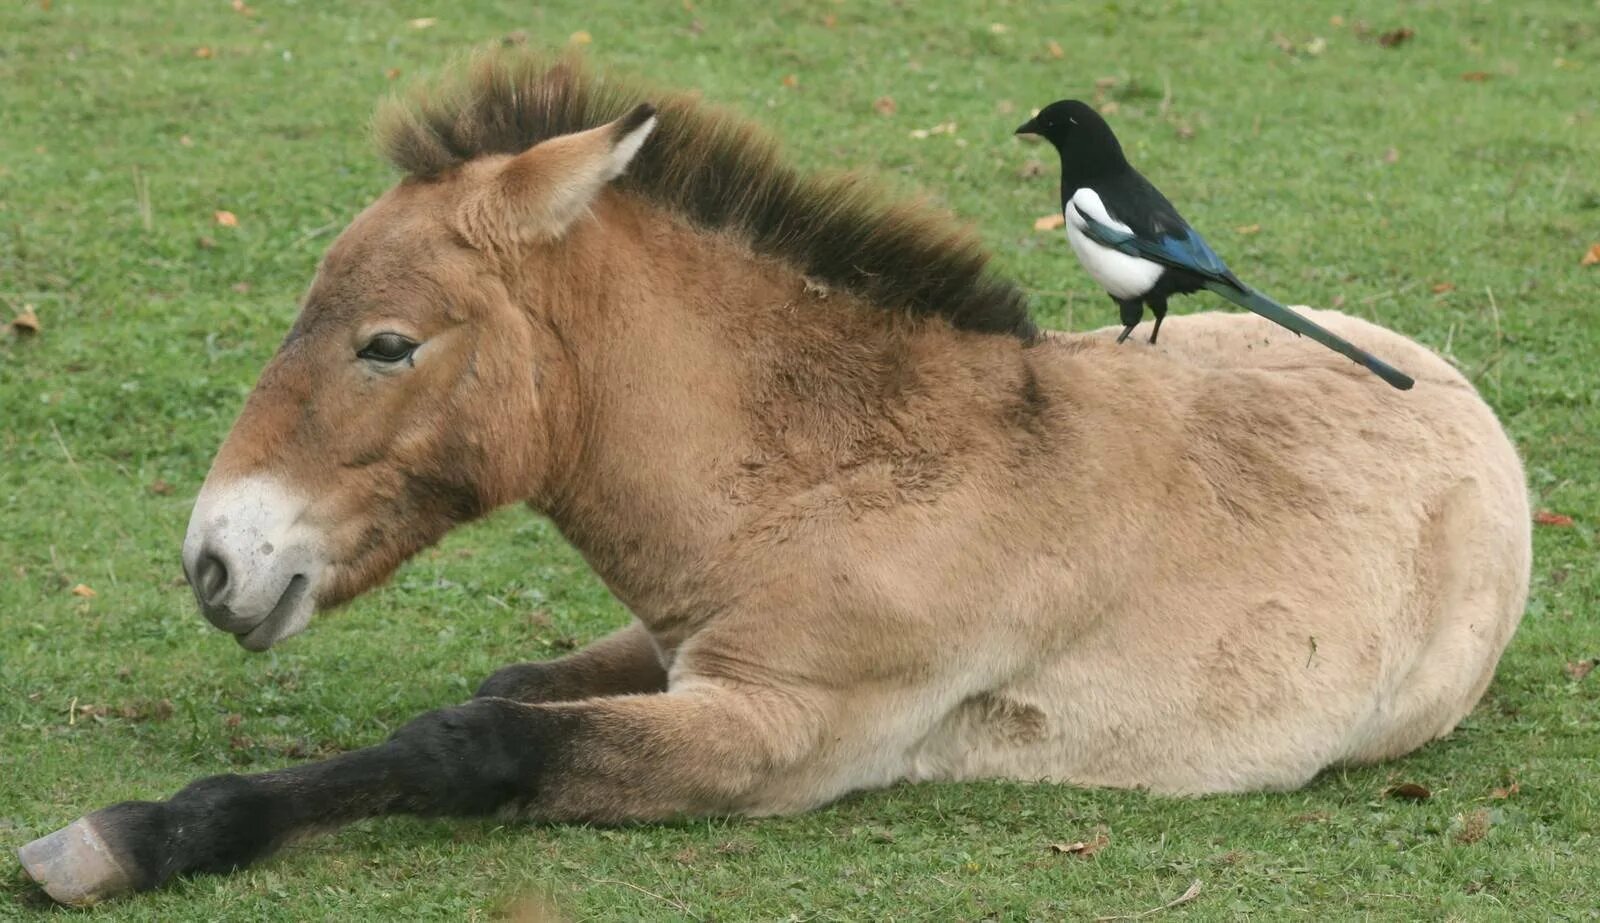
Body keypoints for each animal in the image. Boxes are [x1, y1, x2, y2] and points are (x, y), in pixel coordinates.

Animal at [18, 50, 1529, 902]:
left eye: (387, 342)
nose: (216, 558)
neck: (838, 473)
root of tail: (1460, 394)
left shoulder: (779, 731)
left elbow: (471, 741)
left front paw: (124, 838)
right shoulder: (681, 647)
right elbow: (503, 686)